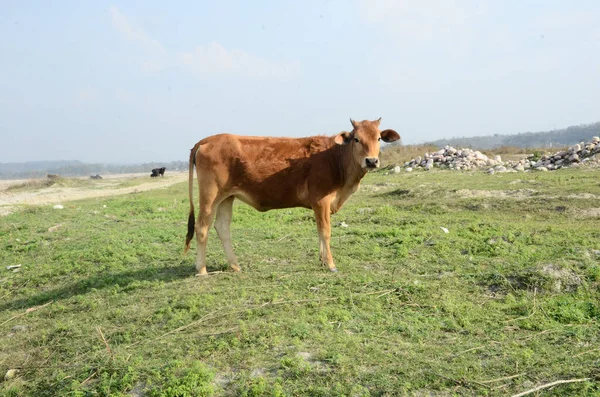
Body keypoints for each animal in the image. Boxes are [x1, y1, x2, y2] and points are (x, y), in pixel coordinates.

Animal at [183, 117, 398, 276]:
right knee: (202, 227)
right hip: (210, 196)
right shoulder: (321, 200)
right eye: (356, 139)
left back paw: (235, 265)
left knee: (222, 227)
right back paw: (202, 270)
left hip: (227, 197)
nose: (371, 161)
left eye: (378, 139)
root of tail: (208, 139)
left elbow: (319, 231)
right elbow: (325, 231)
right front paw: (330, 264)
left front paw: (322, 260)